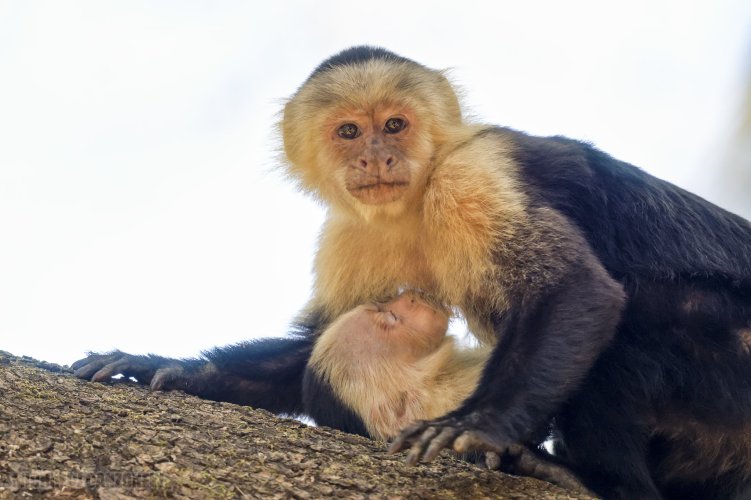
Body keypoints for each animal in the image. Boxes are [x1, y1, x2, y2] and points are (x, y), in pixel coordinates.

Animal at [73, 47, 751, 500]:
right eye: (350, 131)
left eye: (395, 124)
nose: (377, 156)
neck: (418, 199)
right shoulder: (352, 232)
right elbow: (310, 349)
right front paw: (170, 368)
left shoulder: (472, 173)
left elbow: (574, 288)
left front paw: (480, 425)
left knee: (638, 321)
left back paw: (596, 481)